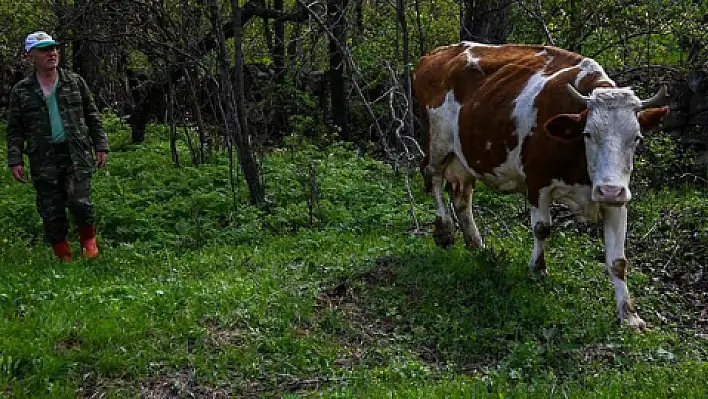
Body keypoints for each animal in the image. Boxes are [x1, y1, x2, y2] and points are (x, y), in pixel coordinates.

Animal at [412, 41, 668, 332]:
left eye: (636, 137)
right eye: (588, 134)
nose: (609, 190)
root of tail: (439, 53)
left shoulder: (616, 197)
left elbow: (618, 259)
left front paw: (629, 315)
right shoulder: (537, 181)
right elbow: (542, 227)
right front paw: (537, 269)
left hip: (464, 155)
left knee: (461, 195)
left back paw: (476, 243)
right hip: (437, 142)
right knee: (432, 175)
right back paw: (444, 231)